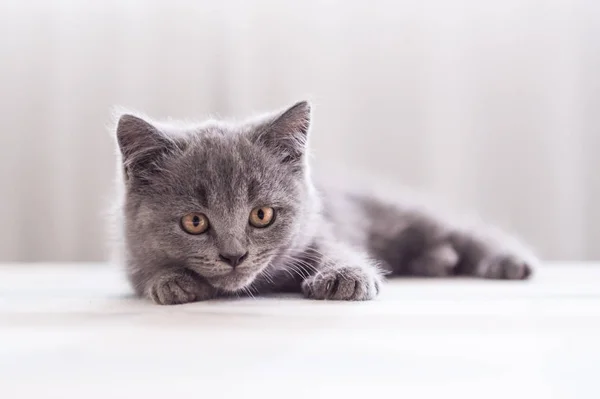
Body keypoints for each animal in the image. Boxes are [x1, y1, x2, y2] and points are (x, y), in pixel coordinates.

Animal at [115, 101, 536, 304]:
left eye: (261, 215)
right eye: (195, 222)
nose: (234, 256)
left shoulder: (321, 229)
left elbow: (337, 250)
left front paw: (344, 276)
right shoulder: (132, 256)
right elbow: (145, 273)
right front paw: (171, 282)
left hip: (399, 211)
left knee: (467, 230)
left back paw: (508, 261)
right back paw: (437, 261)